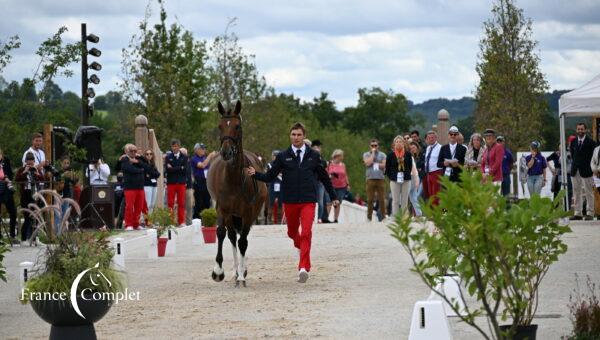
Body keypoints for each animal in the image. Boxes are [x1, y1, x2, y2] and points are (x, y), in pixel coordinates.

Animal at [209, 100, 270, 286]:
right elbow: (223, 234)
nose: (226, 152)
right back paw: (235, 271)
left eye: (237, 126)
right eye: (220, 126)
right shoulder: (223, 209)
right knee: (230, 236)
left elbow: (243, 241)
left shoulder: (249, 213)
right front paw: (218, 271)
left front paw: (242, 275)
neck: (234, 180)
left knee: (242, 237)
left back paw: (241, 271)